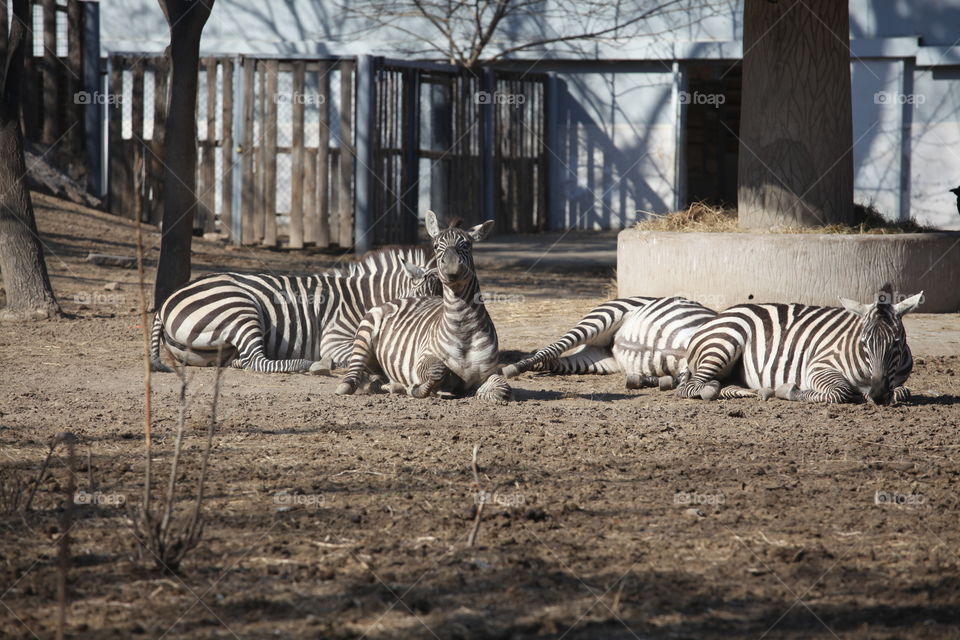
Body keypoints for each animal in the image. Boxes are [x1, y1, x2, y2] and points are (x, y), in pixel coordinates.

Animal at [149, 246, 439, 374]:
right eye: (421, 302)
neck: (362, 300)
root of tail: (163, 306)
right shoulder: (334, 338)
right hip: (240, 307)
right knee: (258, 361)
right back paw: (308, 364)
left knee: (245, 360)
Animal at [336, 211, 511, 402]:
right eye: (435, 246)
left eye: (467, 244)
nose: (452, 268)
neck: (463, 328)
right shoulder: (421, 360)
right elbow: (438, 370)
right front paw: (419, 388)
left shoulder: (487, 374)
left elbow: (503, 389)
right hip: (364, 334)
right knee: (353, 373)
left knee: (378, 378)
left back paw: (394, 385)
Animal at [502, 296, 716, 390]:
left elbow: (681, 378)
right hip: (603, 318)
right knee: (552, 348)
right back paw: (513, 367)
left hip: (597, 360)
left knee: (551, 360)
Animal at [675, 284, 923, 404]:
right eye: (864, 343)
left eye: (896, 343)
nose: (878, 394)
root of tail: (718, 315)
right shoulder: (819, 367)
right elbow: (840, 392)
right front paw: (790, 391)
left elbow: (903, 392)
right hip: (723, 344)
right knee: (691, 387)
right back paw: (711, 389)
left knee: (726, 385)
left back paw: (755, 391)